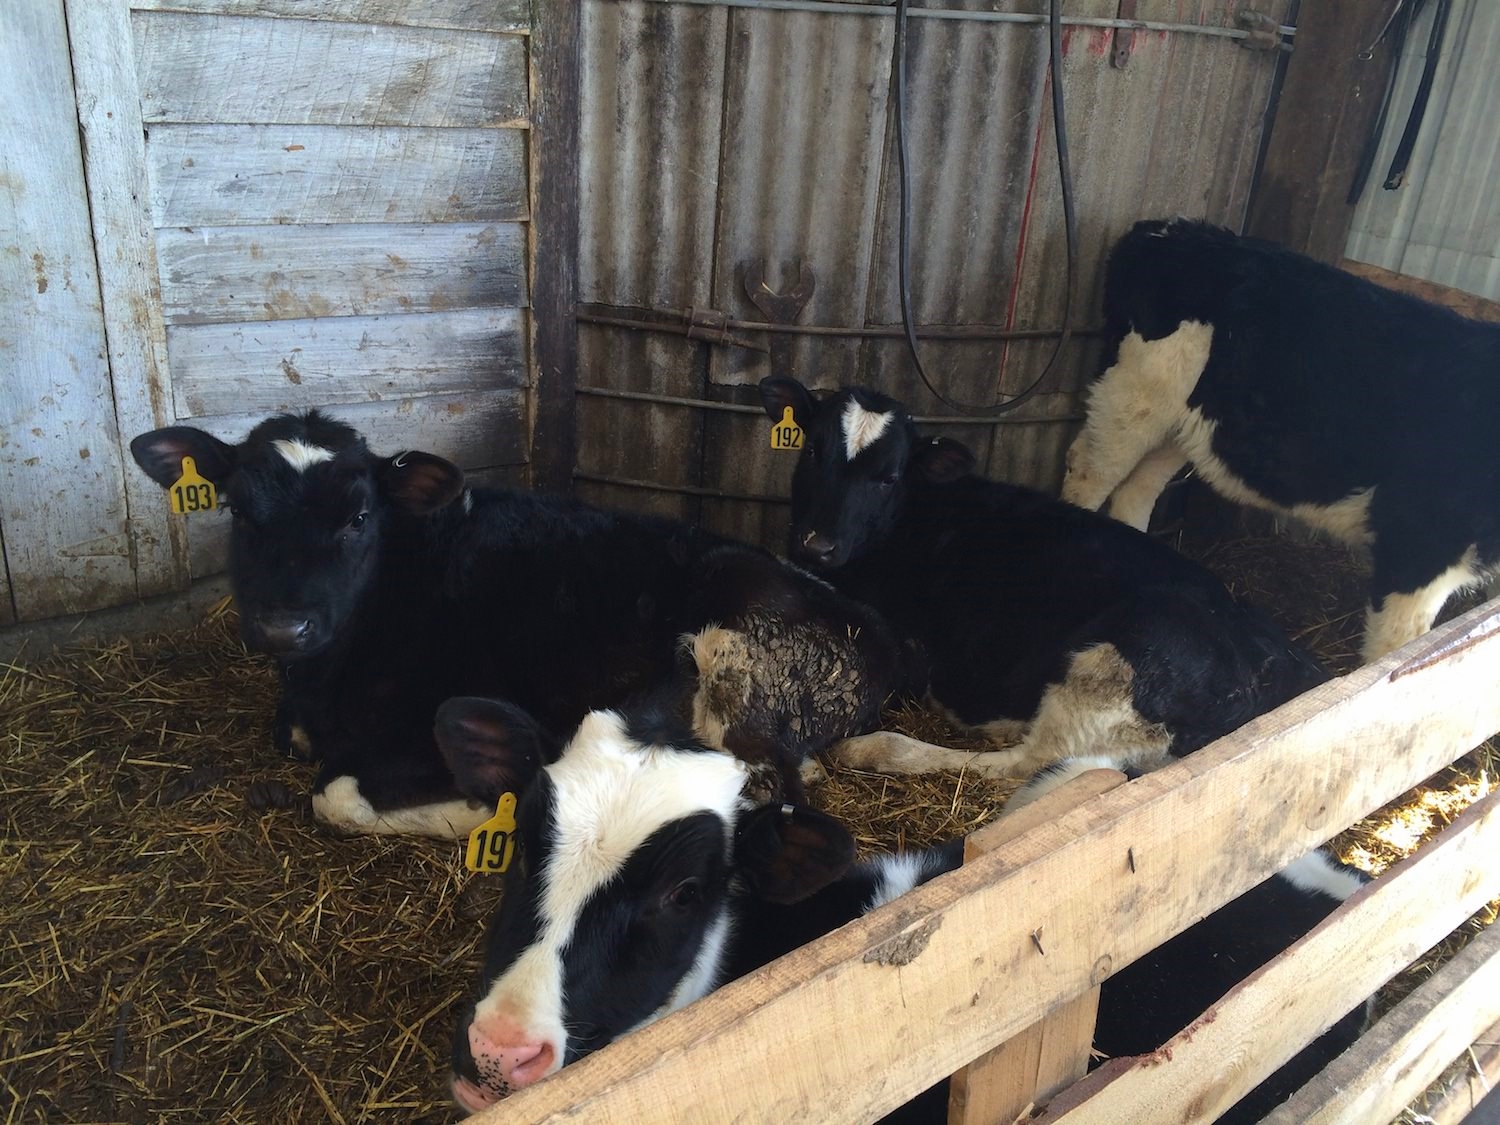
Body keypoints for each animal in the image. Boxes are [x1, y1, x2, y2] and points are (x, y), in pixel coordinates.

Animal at [129, 411, 905, 837]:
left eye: (358, 517)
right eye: (238, 510)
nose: (283, 627)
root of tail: (871, 627)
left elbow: (337, 795)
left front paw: (475, 809)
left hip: (732, 665)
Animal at [757, 376, 1326, 781]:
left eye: (889, 477)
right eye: (812, 450)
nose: (817, 545)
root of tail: (1270, 666)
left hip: (1115, 660)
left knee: (1026, 762)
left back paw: (873, 749)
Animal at [1060, 217, 1500, 662]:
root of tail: (1164, 229)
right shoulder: (1417, 546)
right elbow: (1397, 655)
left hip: (1182, 422)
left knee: (1137, 488)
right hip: (1133, 395)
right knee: (1091, 471)